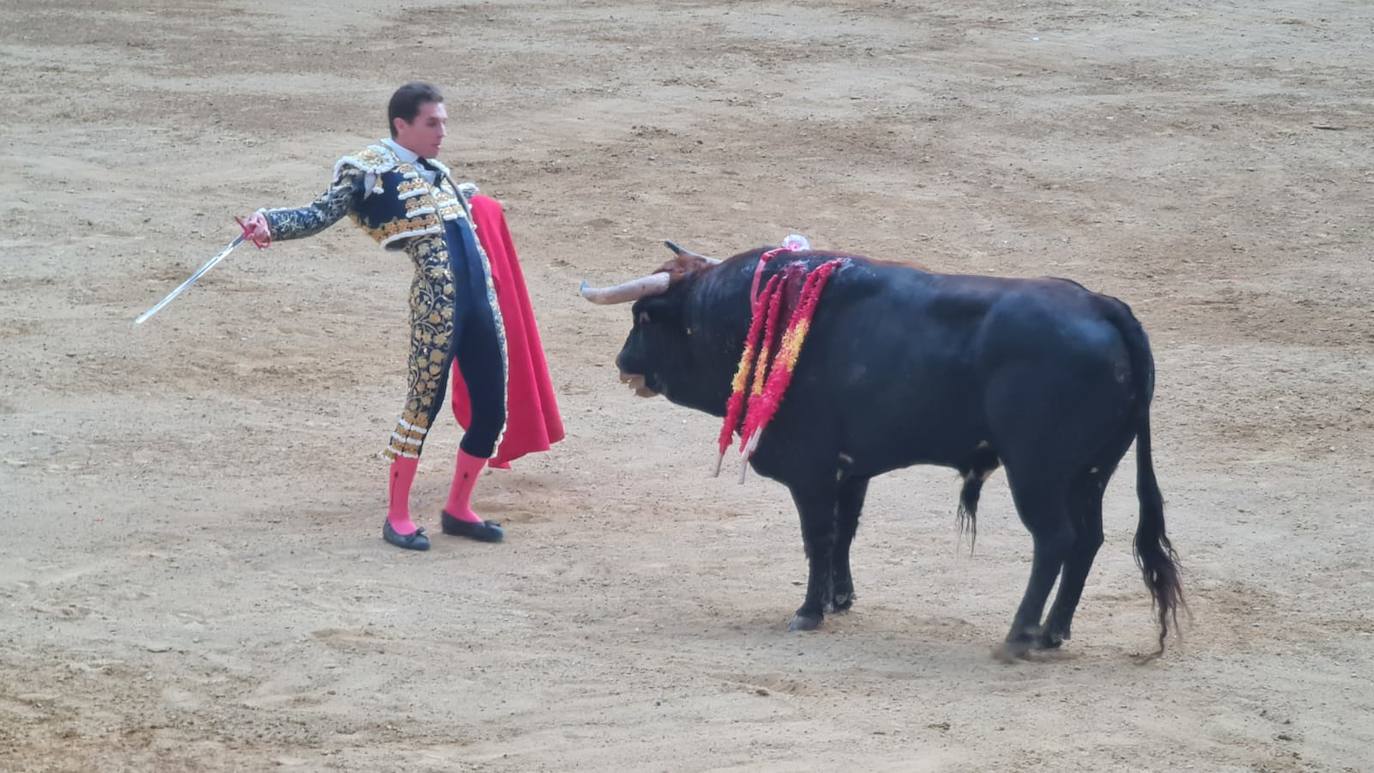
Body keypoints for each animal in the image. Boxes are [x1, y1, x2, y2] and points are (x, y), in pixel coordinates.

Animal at [579, 241, 1181, 659]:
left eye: (644, 318)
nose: (623, 362)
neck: (746, 317)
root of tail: (1104, 308)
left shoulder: (811, 469)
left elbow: (818, 536)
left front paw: (808, 611)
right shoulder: (853, 469)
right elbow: (846, 530)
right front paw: (838, 600)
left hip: (1038, 472)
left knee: (1055, 540)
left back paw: (1019, 635)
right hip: (1092, 471)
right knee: (1088, 541)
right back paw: (1053, 633)